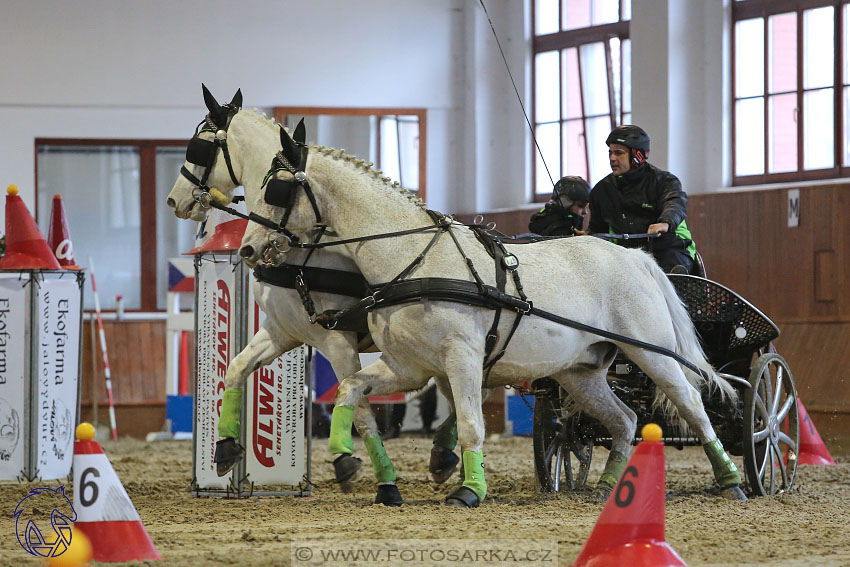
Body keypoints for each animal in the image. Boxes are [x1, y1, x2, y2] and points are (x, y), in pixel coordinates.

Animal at [162, 85, 460, 506]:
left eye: (198, 146)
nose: (175, 200)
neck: (305, 250)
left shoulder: (335, 340)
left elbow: (360, 407)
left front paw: (369, 475)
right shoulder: (282, 330)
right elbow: (236, 368)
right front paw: (226, 447)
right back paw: (444, 454)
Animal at [240, 130, 748, 510]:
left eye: (275, 189)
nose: (246, 249)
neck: (411, 258)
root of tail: (634, 255)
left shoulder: (461, 358)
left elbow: (470, 425)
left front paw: (469, 490)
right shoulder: (409, 368)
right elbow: (350, 388)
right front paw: (345, 462)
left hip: (651, 353)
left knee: (693, 407)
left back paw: (733, 481)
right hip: (581, 371)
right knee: (623, 420)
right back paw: (607, 486)